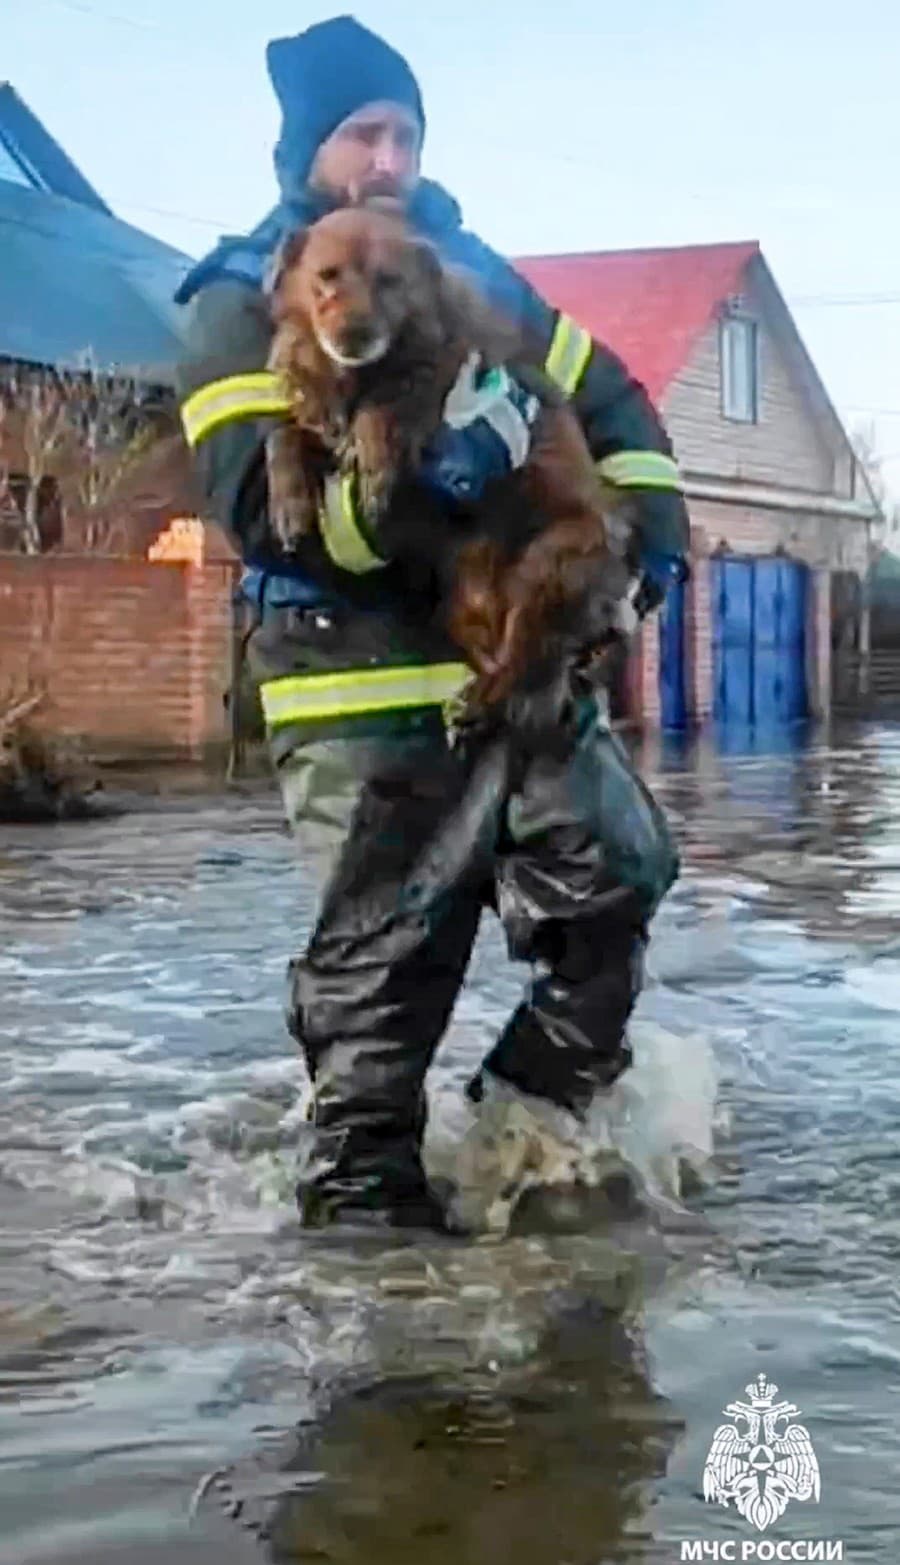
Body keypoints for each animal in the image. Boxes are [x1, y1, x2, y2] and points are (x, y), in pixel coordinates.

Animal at [264, 201, 629, 710]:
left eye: (389, 281)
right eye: (327, 275)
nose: (355, 335)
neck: (358, 377)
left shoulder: (441, 376)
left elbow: (392, 402)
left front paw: (374, 453)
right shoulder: (316, 425)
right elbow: (284, 436)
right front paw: (288, 502)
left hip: (547, 563)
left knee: (527, 655)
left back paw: (490, 697)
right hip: (458, 598)